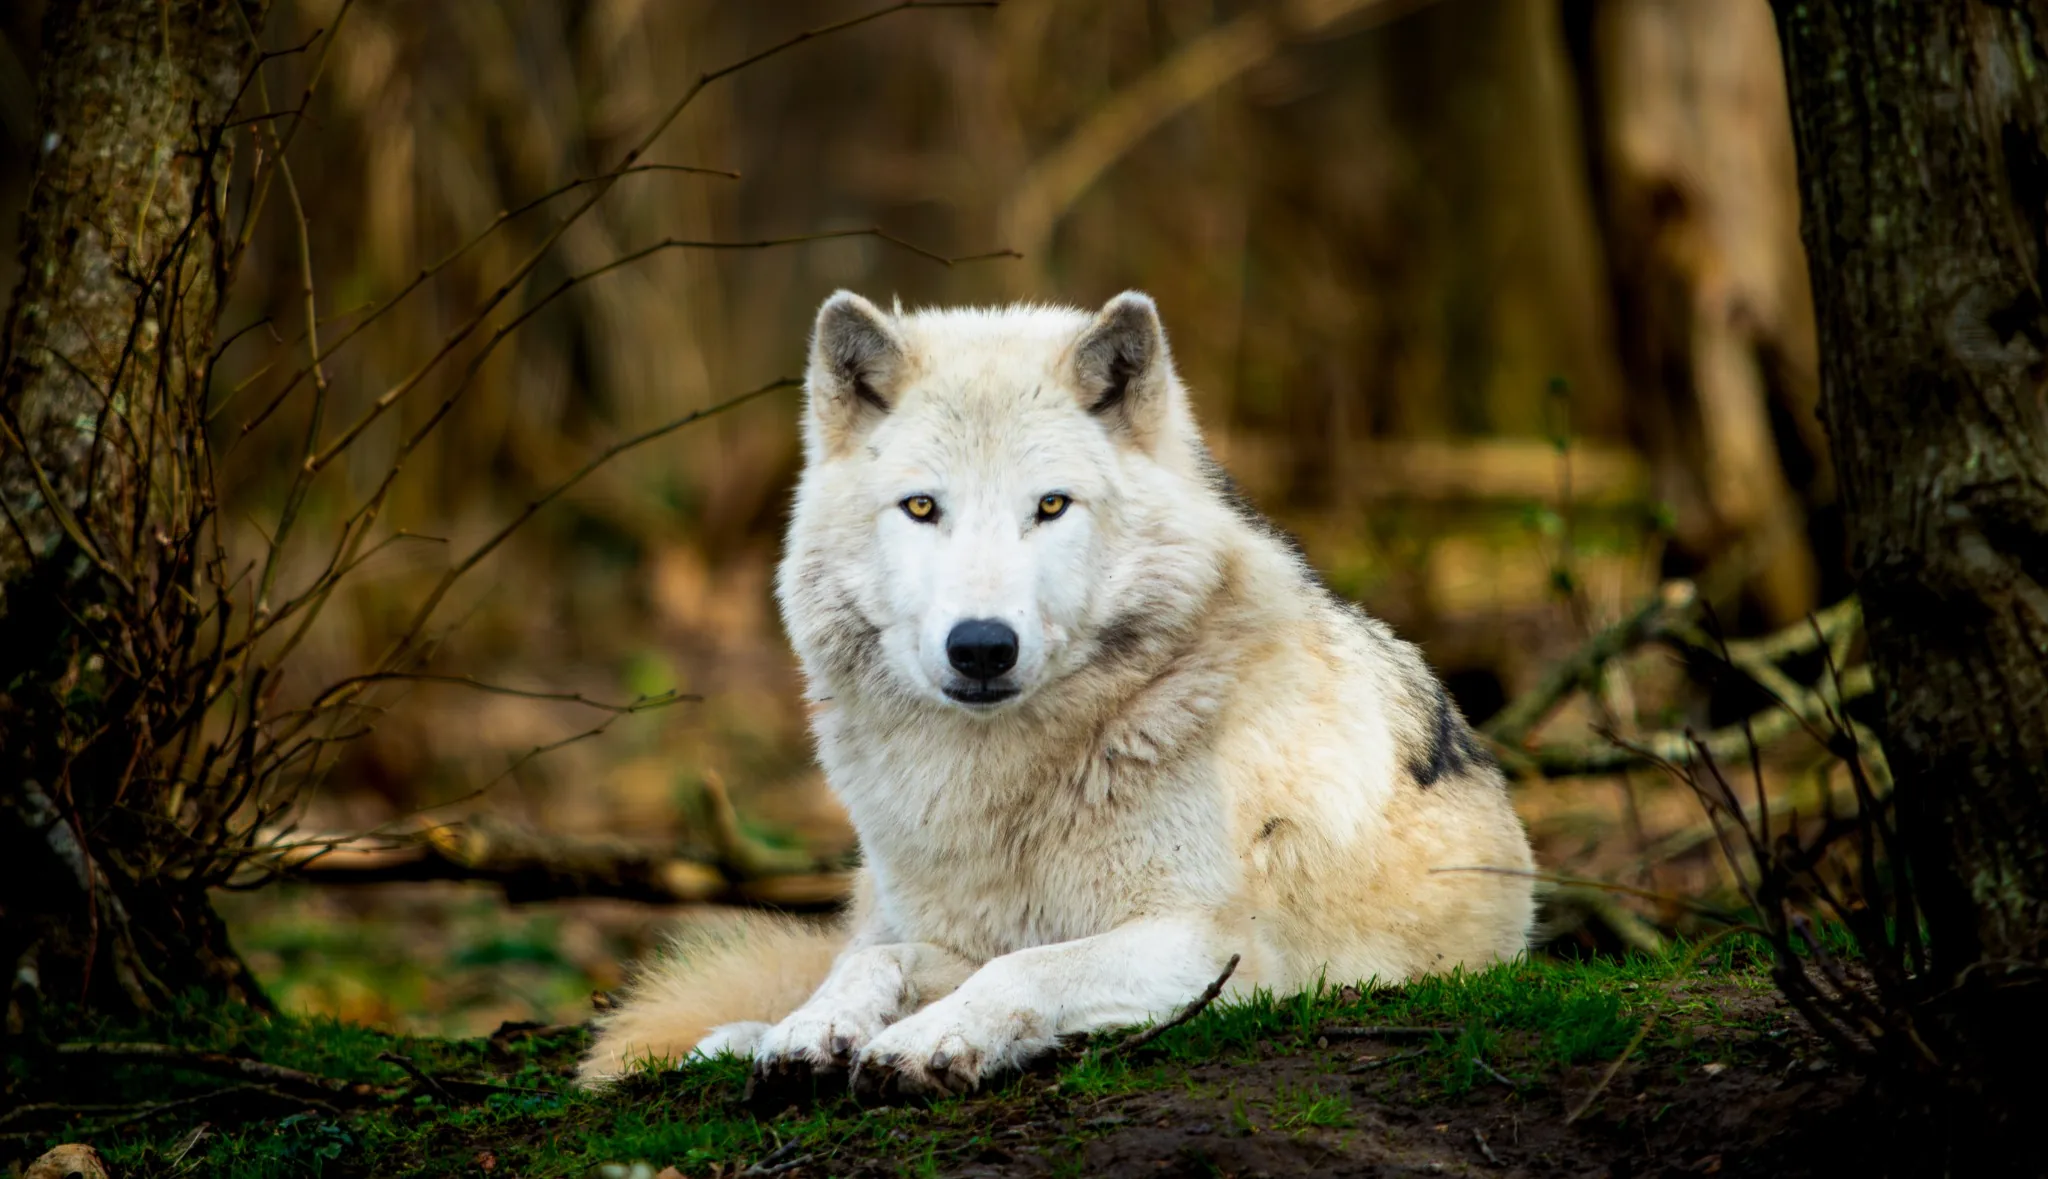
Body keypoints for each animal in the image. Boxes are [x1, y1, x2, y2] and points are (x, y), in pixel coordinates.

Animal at [577, 291, 1536, 1094]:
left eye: (1050, 506)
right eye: (921, 507)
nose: (981, 646)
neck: (1008, 783)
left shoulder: (1217, 948)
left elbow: (1028, 966)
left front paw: (925, 1041)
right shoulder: (955, 935)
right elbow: (876, 964)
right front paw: (814, 1030)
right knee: (847, 948)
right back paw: (739, 1034)